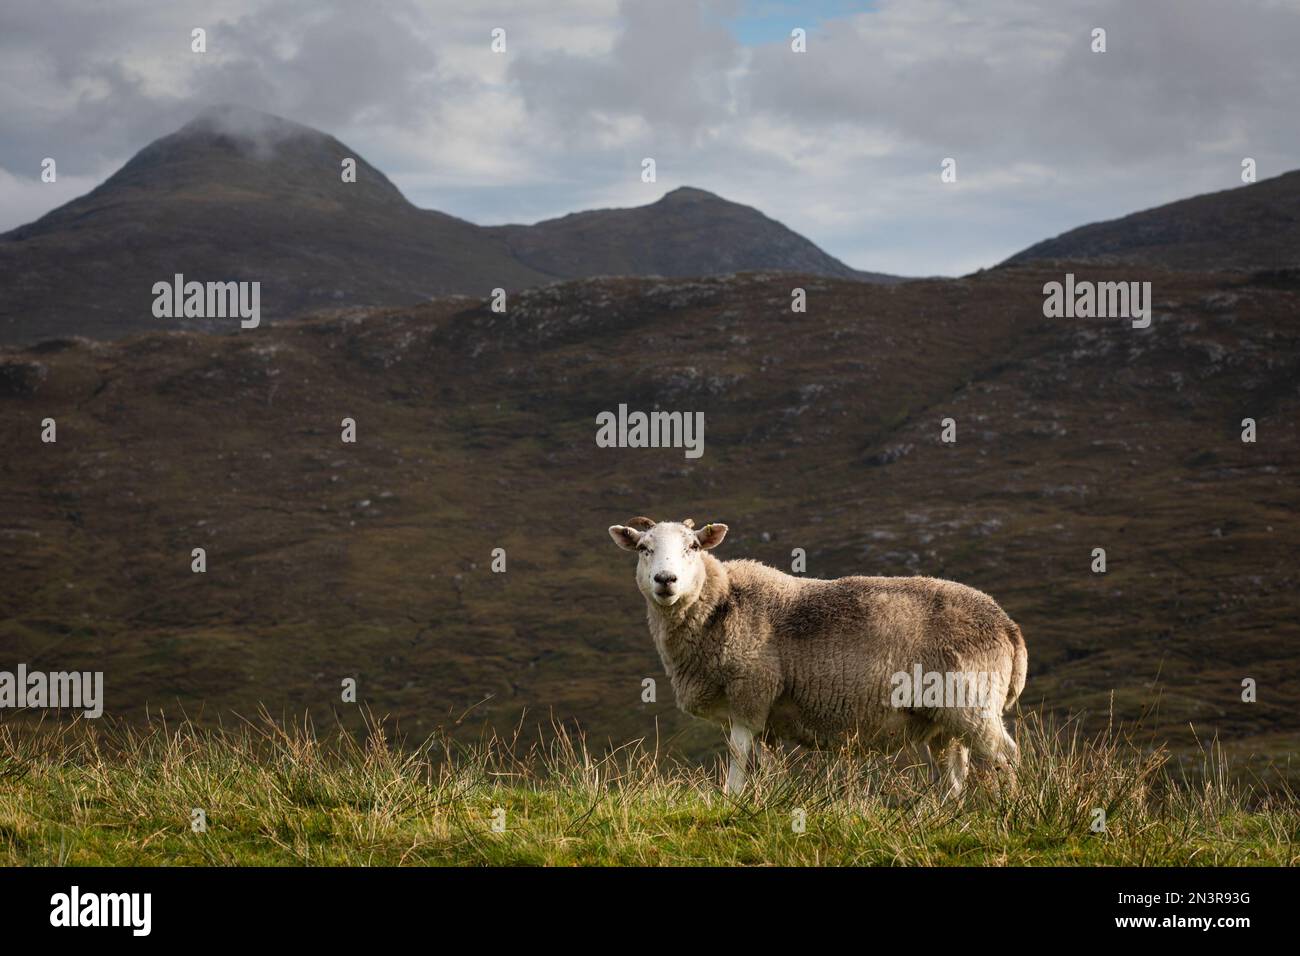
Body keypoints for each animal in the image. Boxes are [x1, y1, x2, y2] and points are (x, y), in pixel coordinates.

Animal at [608, 517, 1027, 797]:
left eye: (693, 548)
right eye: (644, 548)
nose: (666, 580)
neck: (723, 603)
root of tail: (1008, 627)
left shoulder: (750, 695)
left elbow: (738, 757)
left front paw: (731, 801)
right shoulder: (767, 719)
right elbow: (767, 765)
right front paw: (765, 800)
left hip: (972, 701)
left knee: (1006, 757)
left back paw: (1011, 809)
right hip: (942, 720)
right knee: (954, 780)